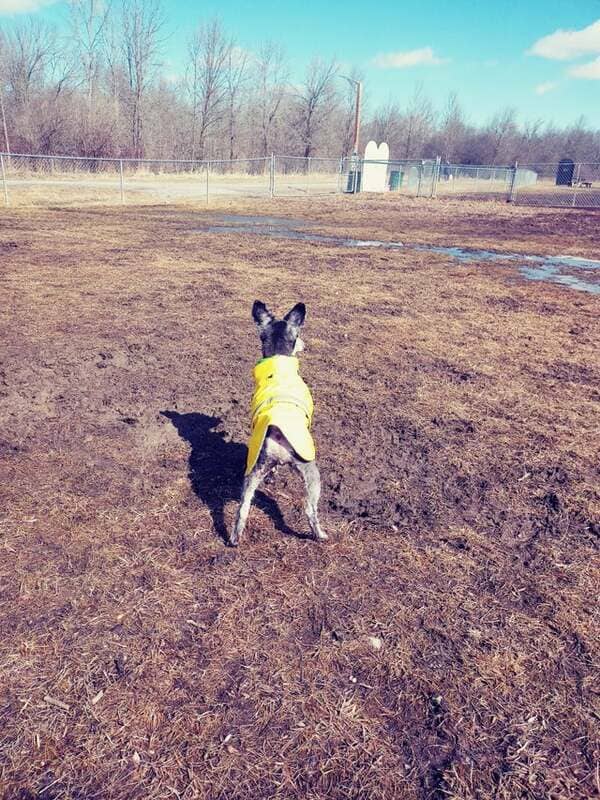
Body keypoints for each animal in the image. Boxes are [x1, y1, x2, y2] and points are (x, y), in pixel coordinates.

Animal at [230, 304, 326, 548]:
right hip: (311, 473)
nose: (304, 345)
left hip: (253, 472)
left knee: (242, 508)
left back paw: (234, 538)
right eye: (298, 336)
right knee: (310, 510)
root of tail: (277, 432)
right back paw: (320, 535)